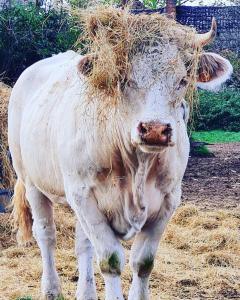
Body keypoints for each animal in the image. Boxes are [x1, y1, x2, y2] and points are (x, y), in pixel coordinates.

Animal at [8, 17, 232, 300]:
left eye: (183, 80)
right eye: (124, 79)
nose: (155, 129)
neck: (138, 166)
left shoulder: (168, 200)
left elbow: (143, 262)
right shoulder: (83, 194)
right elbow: (111, 260)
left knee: (83, 244)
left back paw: (86, 293)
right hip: (32, 181)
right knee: (46, 234)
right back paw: (51, 290)